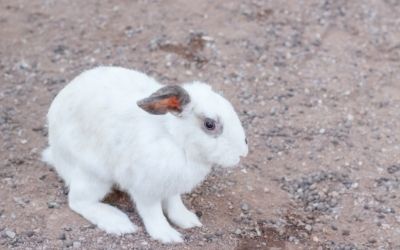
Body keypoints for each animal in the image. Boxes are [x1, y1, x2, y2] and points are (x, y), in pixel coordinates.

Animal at [42, 66, 248, 242]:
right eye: (209, 124)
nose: (242, 153)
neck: (176, 140)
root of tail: (56, 154)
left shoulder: (172, 187)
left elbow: (174, 204)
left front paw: (188, 221)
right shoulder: (145, 189)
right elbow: (153, 213)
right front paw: (167, 235)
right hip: (93, 177)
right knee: (78, 202)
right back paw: (118, 223)